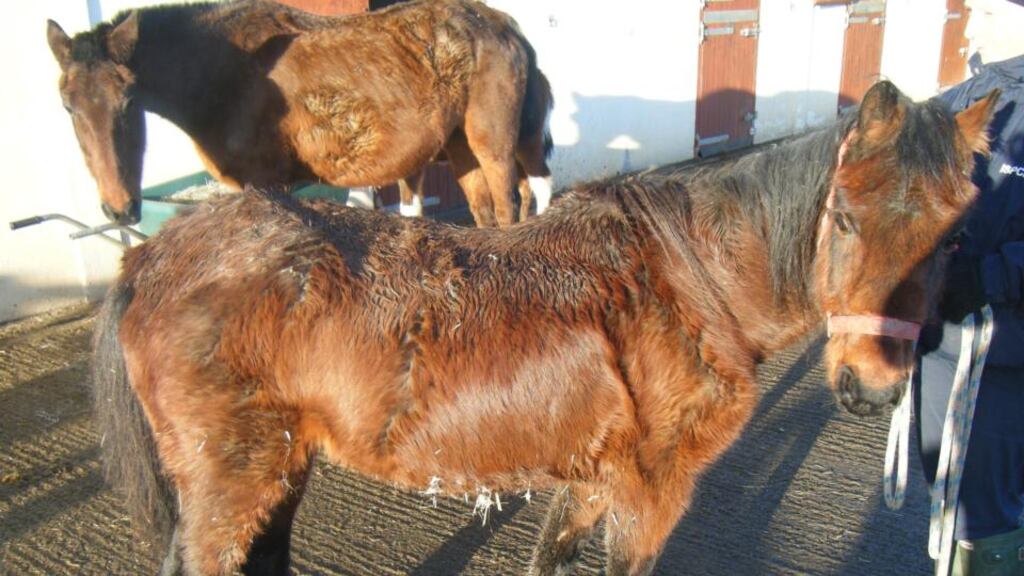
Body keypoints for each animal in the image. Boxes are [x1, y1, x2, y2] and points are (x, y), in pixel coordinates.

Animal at [46, 0, 554, 228]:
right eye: (67, 105)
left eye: (129, 102)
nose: (119, 209)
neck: (225, 72)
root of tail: (504, 24)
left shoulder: (269, 184)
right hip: (459, 147)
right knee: (484, 210)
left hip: (493, 144)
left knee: (510, 206)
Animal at [90, 81, 998, 575]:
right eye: (843, 217)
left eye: (957, 233)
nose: (872, 389)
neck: (692, 278)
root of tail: (155, 255)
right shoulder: (653, 495)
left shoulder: (592, 482)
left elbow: (547, 556)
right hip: (234, 479)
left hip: (278, 464)